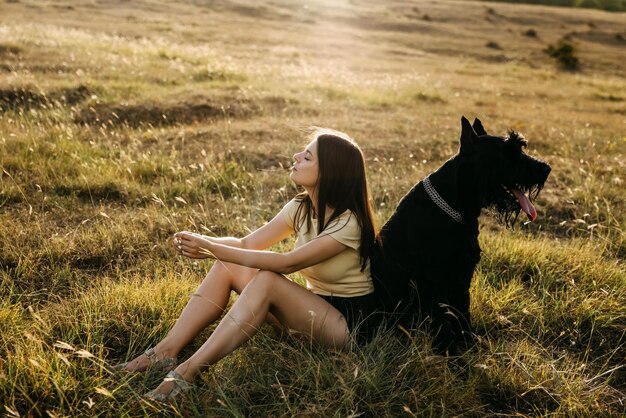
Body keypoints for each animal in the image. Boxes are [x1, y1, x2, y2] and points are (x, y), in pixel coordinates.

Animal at [370, 116, 552, 352]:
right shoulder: (434, 280)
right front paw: (450, 350)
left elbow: (462, 312)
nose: (546, 168)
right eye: (508, 152)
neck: (457, 207)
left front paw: (469, 342)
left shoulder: (463, 274)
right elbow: (442, 317)